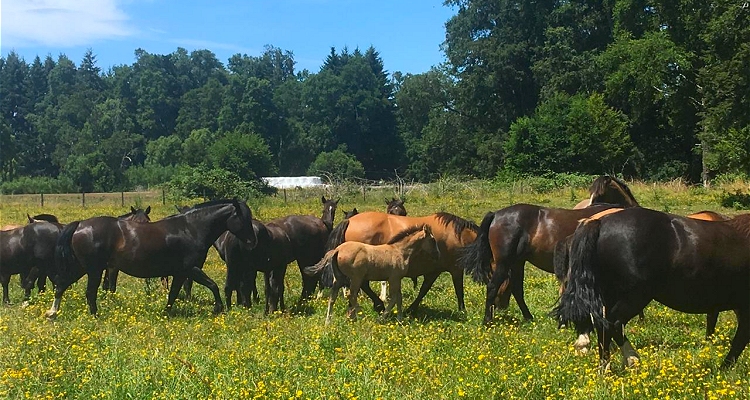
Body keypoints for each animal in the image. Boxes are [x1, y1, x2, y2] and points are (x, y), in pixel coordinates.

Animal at [47, 198, 258, 318]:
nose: (252, 242)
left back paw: (52, 313)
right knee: (89, 292)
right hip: (94, 270)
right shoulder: (189, 269)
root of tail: (80, 225)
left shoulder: (180, 273)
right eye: (244, 218)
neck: (190, 229)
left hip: (81, 267)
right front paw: (218, 308)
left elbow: (173, 294)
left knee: (61, 284)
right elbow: (212, 285)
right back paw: (95, 316)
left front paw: (166, 313)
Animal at [308, 223, 444, 324]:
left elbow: (398, 298)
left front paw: (398, 319)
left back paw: (328, 321)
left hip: (339, 277)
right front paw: (385, 318)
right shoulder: (394, 278)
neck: (399, 251)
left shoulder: (396, 279)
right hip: (356, 277)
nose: (438, 255)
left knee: (333, 297)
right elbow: (395, 298)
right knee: (352, 295)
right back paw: (359, 315)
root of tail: (337, 249)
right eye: (433, 240)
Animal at [322, 211, 476, 314]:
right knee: (363, 285)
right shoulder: (455, 269)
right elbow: (458, 290)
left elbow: (424, 289)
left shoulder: (435, 271)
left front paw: (411, 309)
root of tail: (349, 221)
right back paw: (378, 305)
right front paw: (462, 310)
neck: (458, 235)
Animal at [552, 208, 750, 370]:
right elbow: (740, 339)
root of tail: (599, 222)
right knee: (611, 324)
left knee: (605, 325)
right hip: (634, 296)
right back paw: (626, 361)